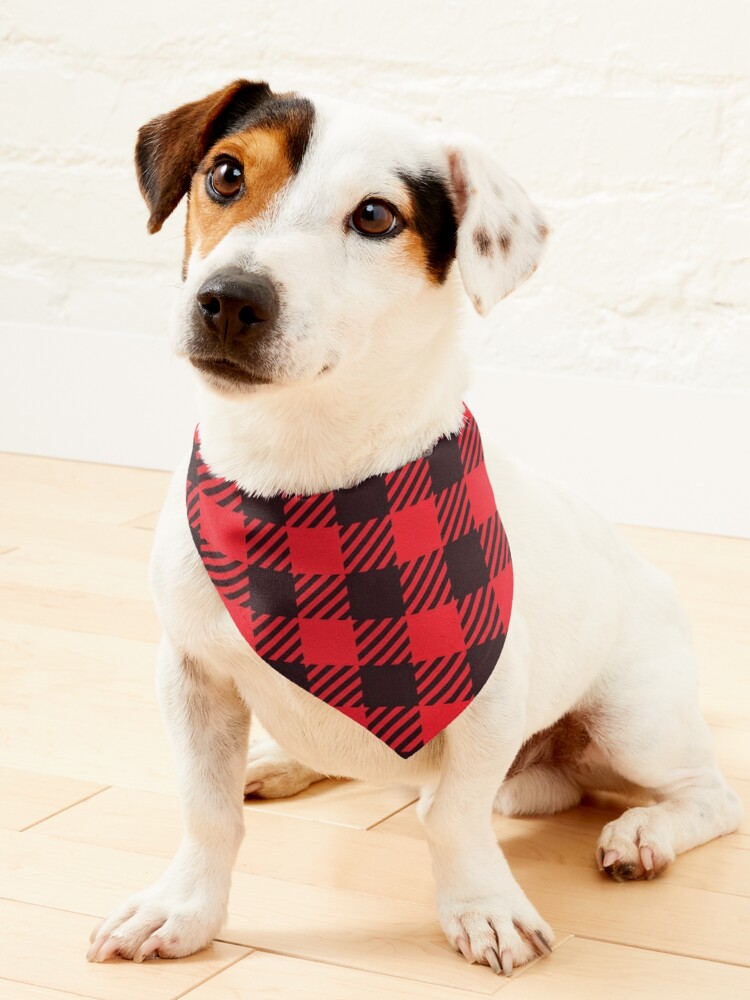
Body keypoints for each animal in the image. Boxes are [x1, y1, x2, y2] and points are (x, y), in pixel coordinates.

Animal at [85, 82, 744, 972]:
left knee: (708, 796)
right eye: (225, 174)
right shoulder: (192, 677)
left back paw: (644, 833)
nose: (229, 298)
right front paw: (183, 909)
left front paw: (483, 908)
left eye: (375, 216)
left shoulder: (487, 697)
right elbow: (207, 810)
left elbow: (452, 817)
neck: (302, 478)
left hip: (635, 719)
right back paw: (281, 761)